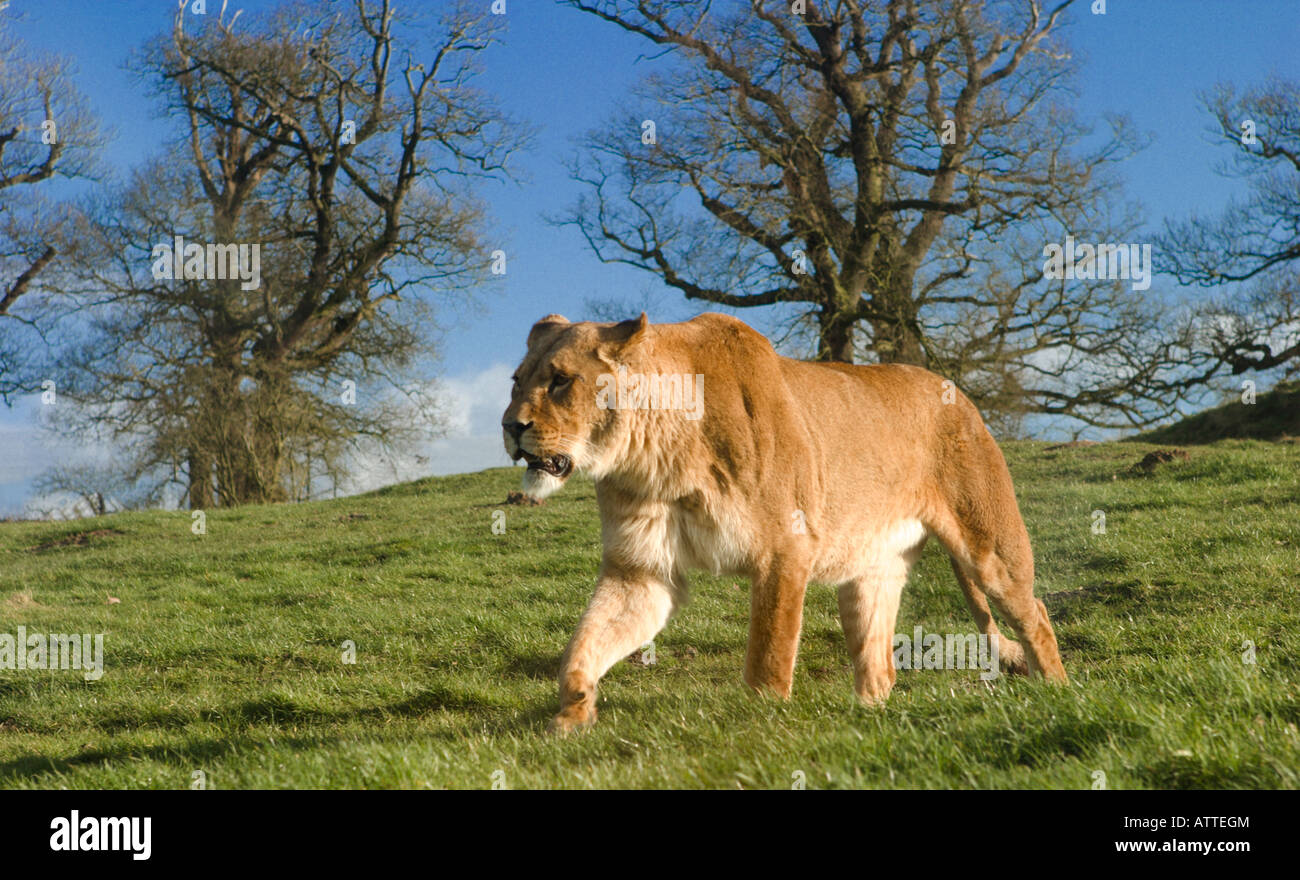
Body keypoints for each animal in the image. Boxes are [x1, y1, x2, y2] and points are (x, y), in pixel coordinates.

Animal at [502, 312, 1067, 733]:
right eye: (516, 381)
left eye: (560, 381)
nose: (510, 426)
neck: (657, 457)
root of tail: (957, 392)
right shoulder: (640, 571)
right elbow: (584, 644)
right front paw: (572, 714)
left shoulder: (784, 551)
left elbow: (769, 653)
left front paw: (762, 722)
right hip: (872, 570)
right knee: (879, 663)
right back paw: (867, 718)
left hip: (990, 545)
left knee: (1035, 613)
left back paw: (1059, 692)